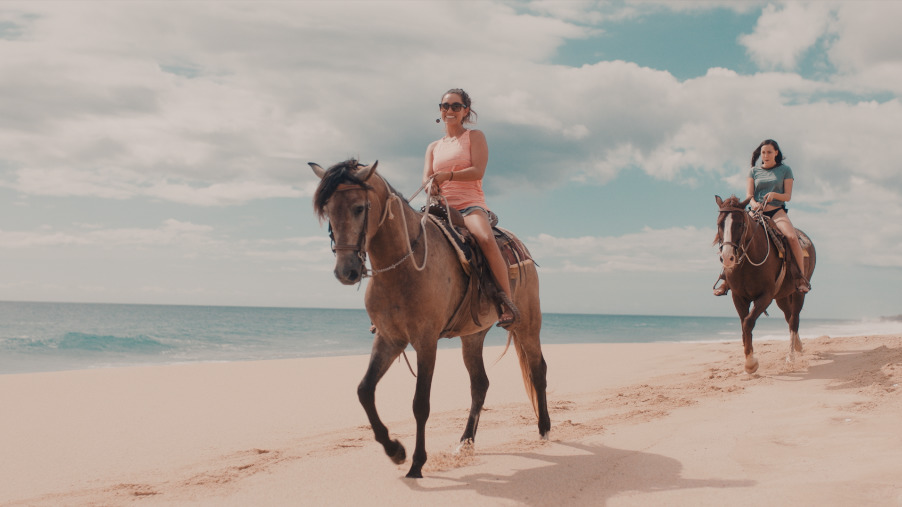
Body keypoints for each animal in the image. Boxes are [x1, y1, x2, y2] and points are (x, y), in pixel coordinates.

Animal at [310, 160, 552, 480]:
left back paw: (544, 429)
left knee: (538, 370)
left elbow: (420, 404)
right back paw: (465, 442)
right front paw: (395, 450)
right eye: (327, 210)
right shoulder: (389, 339)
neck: (403, 266)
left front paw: (416, 463)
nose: (345, 271)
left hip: (527, 325)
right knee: (480, 384)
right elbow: (364, 390)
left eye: (359, 207)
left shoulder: (426, 342)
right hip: (472, 335)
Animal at [716, 196, 816, 376]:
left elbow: (748, 322)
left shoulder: (766, 296)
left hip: (799, 293)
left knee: (794, 320)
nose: (727, 258)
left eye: (740, 224)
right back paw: (798, 346)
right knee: (788, 316)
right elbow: (744, 325)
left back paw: (791, 356)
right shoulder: (738, 297)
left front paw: (751, 364)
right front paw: (749, 359)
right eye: (719, 224)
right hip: (782, 296)